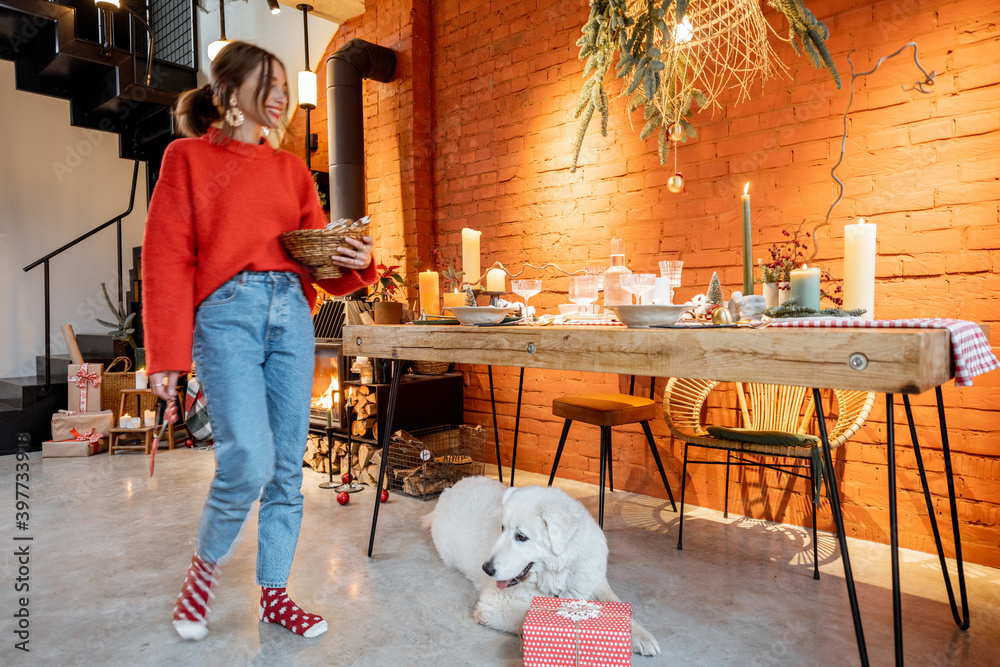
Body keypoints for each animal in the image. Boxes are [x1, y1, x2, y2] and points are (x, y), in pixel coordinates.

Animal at [426, 474, 660, 656]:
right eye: (502, 528)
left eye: (521, 537)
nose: (487, 569)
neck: (558, 572)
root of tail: (451, 487)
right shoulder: (494, 605)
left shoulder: (594, 583)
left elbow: (618, 607)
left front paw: (640, 635)